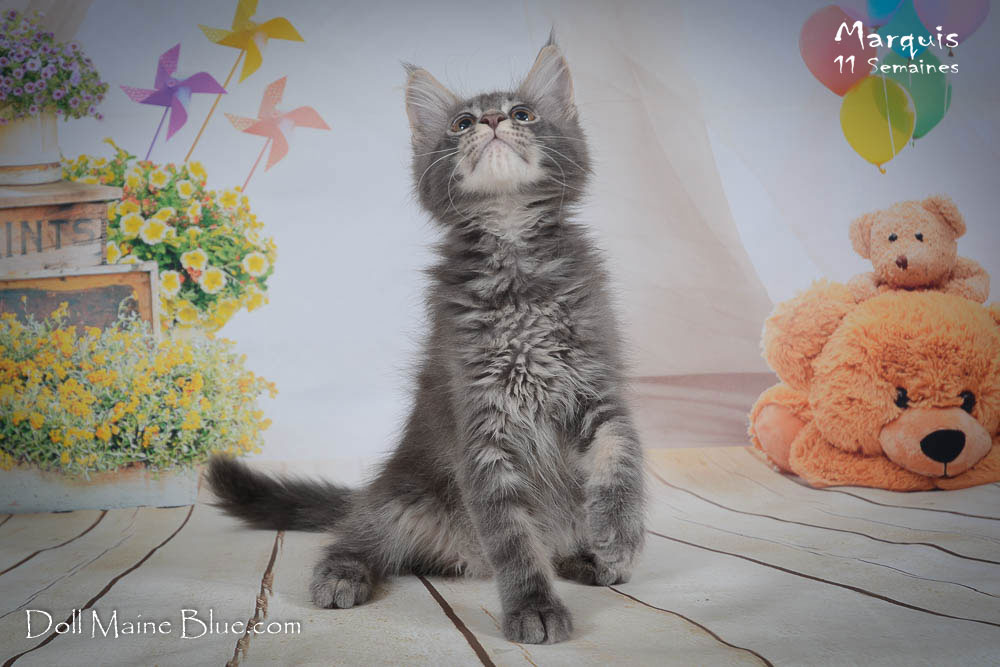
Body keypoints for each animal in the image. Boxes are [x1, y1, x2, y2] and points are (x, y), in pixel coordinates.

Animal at [208, 34, 646, 645]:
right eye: (462, 123)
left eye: (523, 114)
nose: (491, 120)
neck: (516, 264)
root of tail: (464, 557)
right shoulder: (482, 423)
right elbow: (513, 537)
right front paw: (533, 607)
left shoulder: (596, 386)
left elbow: (622, 456)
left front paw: (619, 538)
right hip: (400, 499)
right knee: (358, 532)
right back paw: (341, 574)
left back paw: (588, 558)